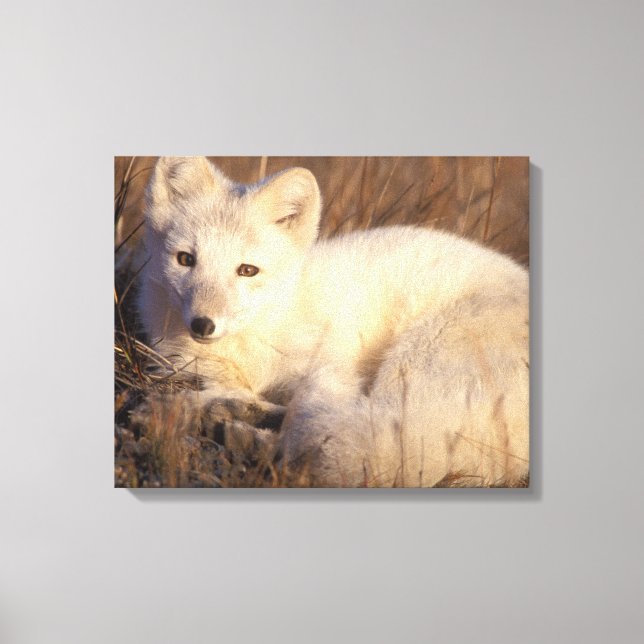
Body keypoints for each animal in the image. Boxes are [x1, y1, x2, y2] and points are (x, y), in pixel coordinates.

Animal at [139, 156, 529, 487]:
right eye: (185, 259)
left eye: (247, 270)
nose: (203, 325)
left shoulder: (330, 372)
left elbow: (305, 411)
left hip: (415, 365)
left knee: (367, 449)